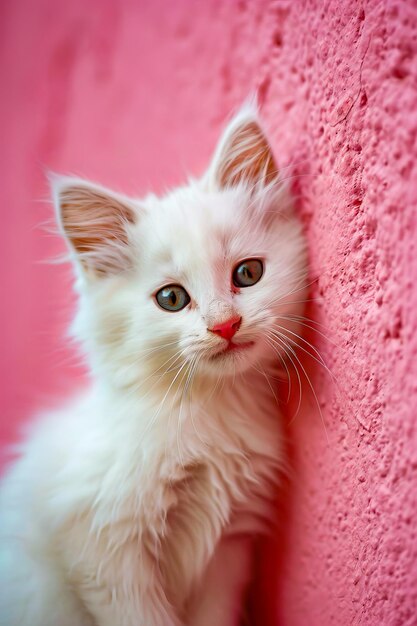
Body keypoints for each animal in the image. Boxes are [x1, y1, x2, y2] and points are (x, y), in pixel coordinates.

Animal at [0, 106, 306, 624]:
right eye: (172, 299)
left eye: (248, 273)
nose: (225, 325)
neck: (205, 412)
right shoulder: (104, 549)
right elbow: (142, 615)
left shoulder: (227, 549)